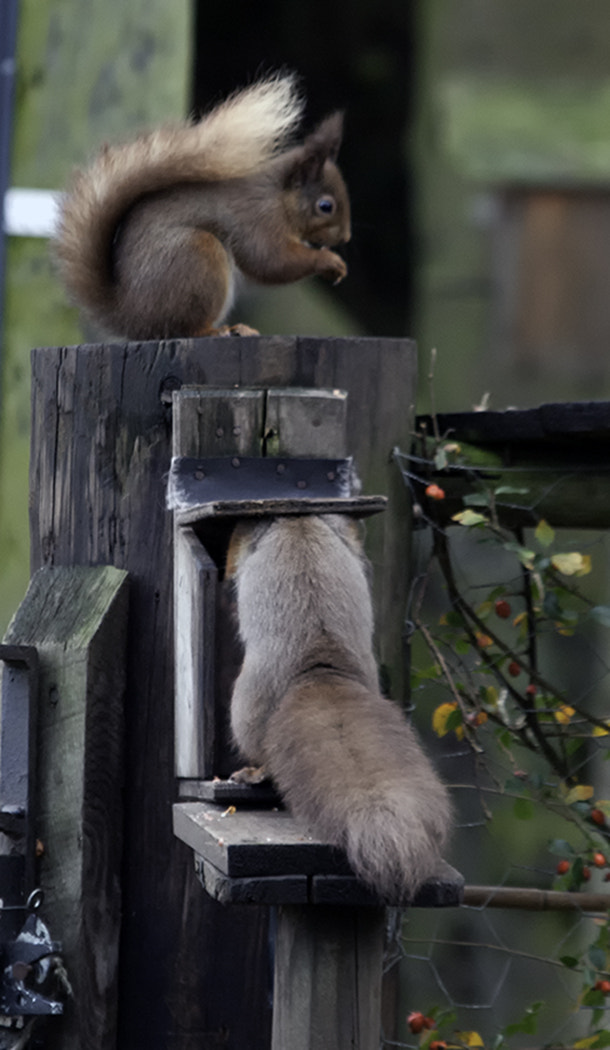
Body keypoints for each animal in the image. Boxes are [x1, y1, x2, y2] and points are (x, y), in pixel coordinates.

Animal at [54, 77, 350, 340]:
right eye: (325, 206)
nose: (345, 238)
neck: (278, 196)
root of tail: (131, 316)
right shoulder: (257, 219)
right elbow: (269, 261)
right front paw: (328, 260)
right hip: (196, 257)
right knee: (184, 328)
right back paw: (218, 330)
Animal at [225, 516, 449, 902]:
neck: (297, 520)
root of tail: (319, 668)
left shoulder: (254, 532)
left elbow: (236, 547)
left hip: (245, 704)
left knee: (261, 751)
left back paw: (252, 772)